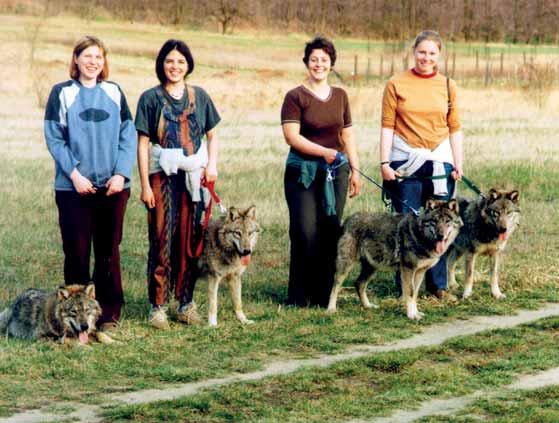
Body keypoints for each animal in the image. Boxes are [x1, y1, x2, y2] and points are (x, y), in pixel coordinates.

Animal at [328, 200, 464, 322]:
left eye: (447, 221)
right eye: (434, 222)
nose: (440, 236)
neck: (419, 235)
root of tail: (348, 219)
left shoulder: (420, 272)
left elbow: (415, 294)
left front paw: (416, 313)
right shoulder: (408, 269)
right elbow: (410, 293)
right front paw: (412, 316)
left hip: (372, 267)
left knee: (359, 283)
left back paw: (368, 306)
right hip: (346, 266)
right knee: (335, 286)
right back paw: (331, 309)